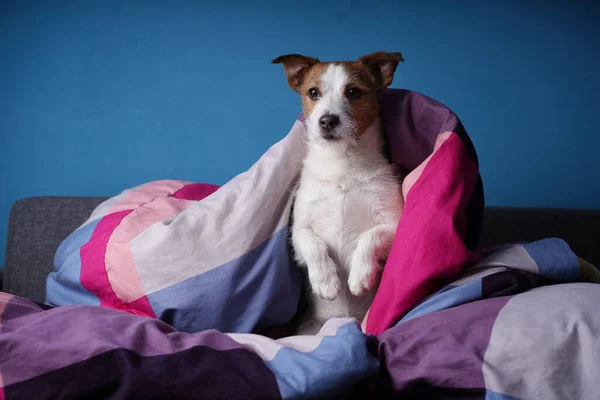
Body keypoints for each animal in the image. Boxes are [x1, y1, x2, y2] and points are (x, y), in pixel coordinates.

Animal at [274, 52, 406, 334]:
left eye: (353, 92)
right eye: (313, 92)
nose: (327, 120)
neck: (342, 164)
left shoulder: (393, 223)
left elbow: (370, 236)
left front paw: (360, 275)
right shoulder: (298, 230)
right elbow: (312, 245)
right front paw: (326, 282)